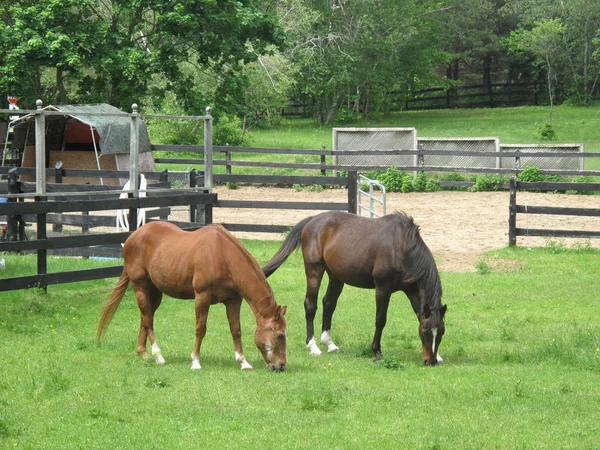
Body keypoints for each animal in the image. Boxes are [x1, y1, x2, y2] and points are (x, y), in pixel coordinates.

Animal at [96, 221, 288, 372]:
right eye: (280, 335)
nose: (281, 366)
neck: (222, 256)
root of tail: (132, 237)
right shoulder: (202, 297)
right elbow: (200, 329)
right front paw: (195, 361)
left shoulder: (233, 300)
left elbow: (236, 330)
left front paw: (243, 361)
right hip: (140, 287)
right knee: (148, 321)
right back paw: (159, 356)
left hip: (155, 292)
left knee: (145, 317)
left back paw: (143, 353)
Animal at [262, 211, 446, 366]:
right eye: (426, 332)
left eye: (441, 333)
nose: (430, 361)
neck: (401, 247)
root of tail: (313, 219)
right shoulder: (383, 289)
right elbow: (380, 319)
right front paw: (377, 351)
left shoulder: (413, 290)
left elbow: (419, 315)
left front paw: (438, 355)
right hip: (314, 271)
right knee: (311, 305)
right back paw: (313, 346)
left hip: (336, 277)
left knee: (328, 303)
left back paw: (329, 343)